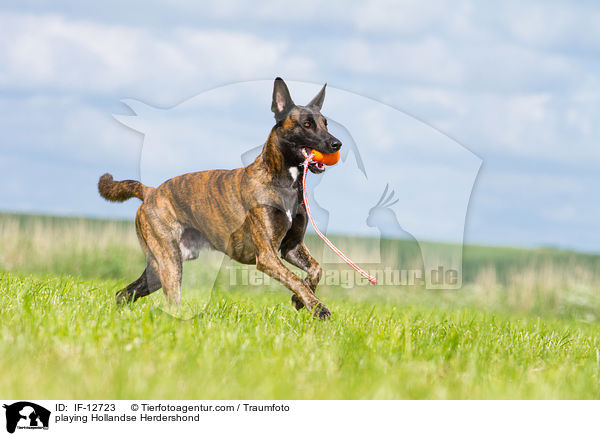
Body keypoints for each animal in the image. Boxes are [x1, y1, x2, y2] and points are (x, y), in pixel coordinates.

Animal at [99, 77, 342, 320]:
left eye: (325, 124)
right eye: (307, 124)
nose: (337, 144)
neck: (282, 181)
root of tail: (150, 191)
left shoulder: (291, 247)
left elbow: (316, 270)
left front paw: (301, 299)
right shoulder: (267, 256)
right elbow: (295, 280)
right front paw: (318, 307)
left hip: (159, 267)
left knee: (124, 293)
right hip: (170, 262)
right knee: (169, 301)